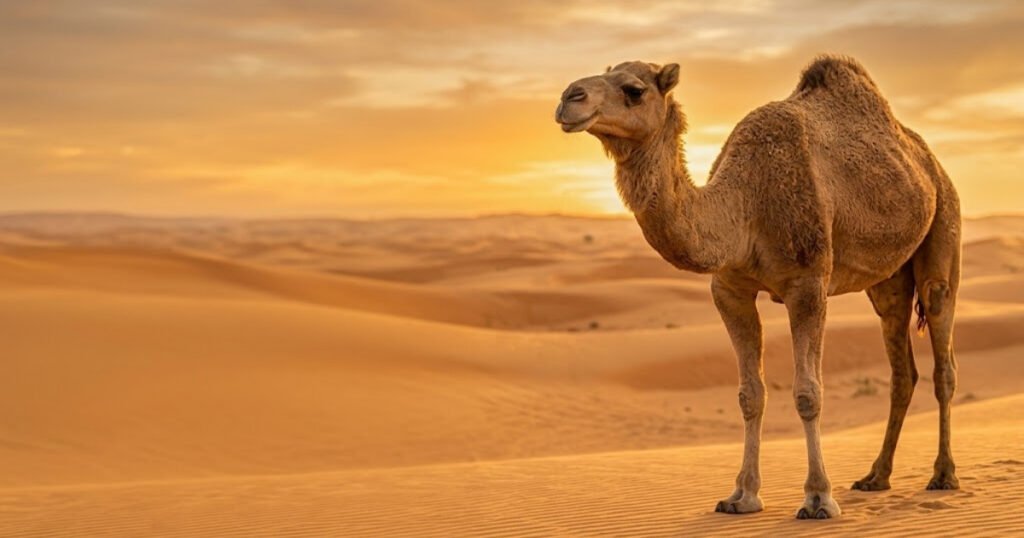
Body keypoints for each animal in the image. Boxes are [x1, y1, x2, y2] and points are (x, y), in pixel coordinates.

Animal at [554, 55, 961, 519]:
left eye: (634, 89)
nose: (569, 97)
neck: (746, 203)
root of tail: (929, 160)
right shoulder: (729, 291)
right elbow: (750, 394)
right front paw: (742, 496)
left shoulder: (808, 284)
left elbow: (808, 393)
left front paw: (818, 498)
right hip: (888, 280)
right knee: (901, 367)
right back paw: (876, 476)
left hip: (944, 224)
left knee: (942, 351)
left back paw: (943, 475)